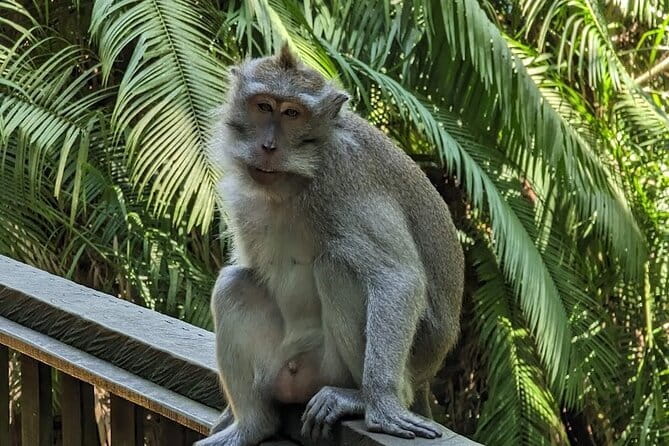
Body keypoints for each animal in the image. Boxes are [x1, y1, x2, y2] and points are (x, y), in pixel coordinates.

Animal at [195, 45, 464, 446]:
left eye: (292, 113)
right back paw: (253, 425)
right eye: (264, 106)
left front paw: (381, 401)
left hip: (342, 366)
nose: (268, 146)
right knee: (235, 284)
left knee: (336, 266)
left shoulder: (347, 176)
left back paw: (359, 397)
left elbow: (397, 277)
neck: (294, 180)